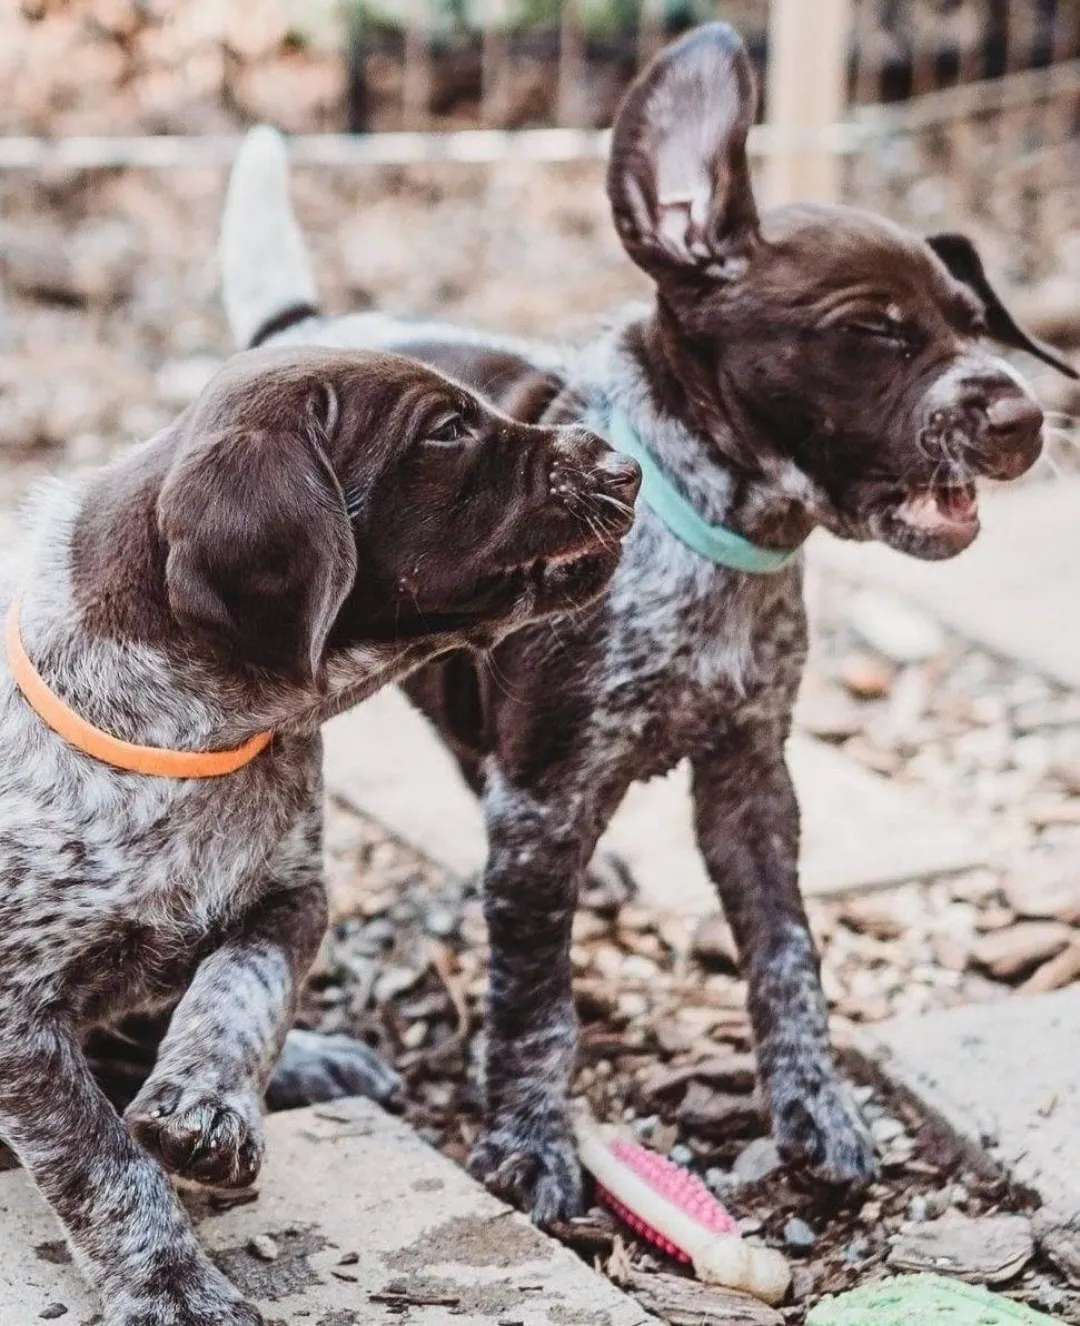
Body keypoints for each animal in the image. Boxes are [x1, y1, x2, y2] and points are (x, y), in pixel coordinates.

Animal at [0, 344, 639, 1326]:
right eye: (446, 431)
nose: (625, 465)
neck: (204, 740)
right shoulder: (17, 1011)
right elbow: (100, 1162)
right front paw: (173, 1284)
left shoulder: (294, 894)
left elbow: (246, 990)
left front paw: (209, 1102)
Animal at [224, 28, 1077, 1230]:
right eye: (871, 333)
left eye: (974, 319)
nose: (1022, 419)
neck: (717, 535)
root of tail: (296, 331)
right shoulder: (548, 798)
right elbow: (537, 1003)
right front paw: (531, 1146)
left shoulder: (751, 783)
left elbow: (787, 954)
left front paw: (815, 1110)